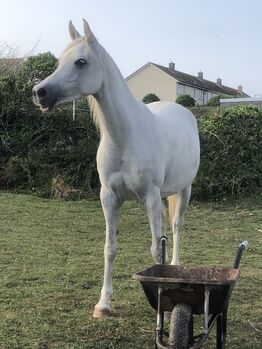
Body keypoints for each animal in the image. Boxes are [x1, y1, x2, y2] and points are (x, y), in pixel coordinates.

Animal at [33, 19, 201, 318]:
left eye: (81, 61)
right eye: (60, 60)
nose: (39, 93)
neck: (125, 137)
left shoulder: (150, 197)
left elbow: (155, 250)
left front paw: (163, 307)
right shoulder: (109, 198)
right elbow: (110, 248)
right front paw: (103, 304)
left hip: (183, 190)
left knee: (177, 226)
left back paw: (175, 268)